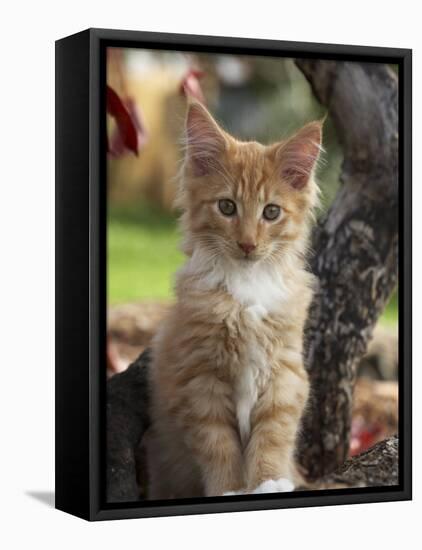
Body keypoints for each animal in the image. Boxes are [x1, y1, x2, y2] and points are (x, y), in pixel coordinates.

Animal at [147, 99, 322, 500]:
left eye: (271, 212)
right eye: (226, 207)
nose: (247, 244)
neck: (247, 286)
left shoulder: (284, 374)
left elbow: (273, 437)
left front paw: (269, 483)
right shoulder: (199, 379)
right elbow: (218, 444)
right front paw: (228, 491)